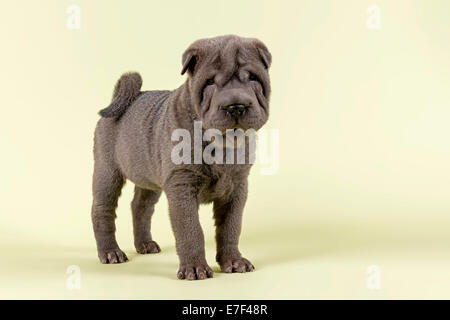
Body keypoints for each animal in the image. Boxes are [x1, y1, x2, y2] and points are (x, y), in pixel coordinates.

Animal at [91, 35, 270, 280]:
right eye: (210, 82)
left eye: (252, 78)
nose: (235, 106)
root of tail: (126, 98)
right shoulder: (181, 186)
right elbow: (190, 229)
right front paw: (195, 268)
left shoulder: (236, 188)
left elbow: (230, 227)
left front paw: (233, 261)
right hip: (107, 171)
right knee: (103, 209)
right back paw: (110, 252)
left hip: (148, 178)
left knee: (140, 207)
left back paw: (145, 244)